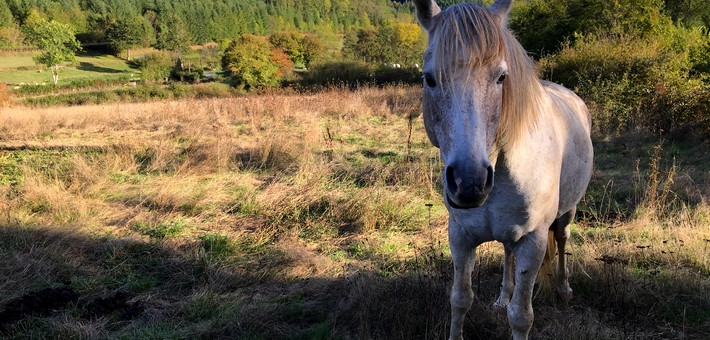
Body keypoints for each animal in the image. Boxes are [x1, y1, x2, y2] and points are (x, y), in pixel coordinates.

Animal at [414, 0, 592, 340]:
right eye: (429, 79)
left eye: (501, 77)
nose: (469, 183)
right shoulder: (460, 236)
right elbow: (460, 299)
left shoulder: (532, 242)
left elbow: (521, 316)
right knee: (507, 253)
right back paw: (503, 296)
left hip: (567, 212)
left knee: (563, 239)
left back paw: (564, 290)